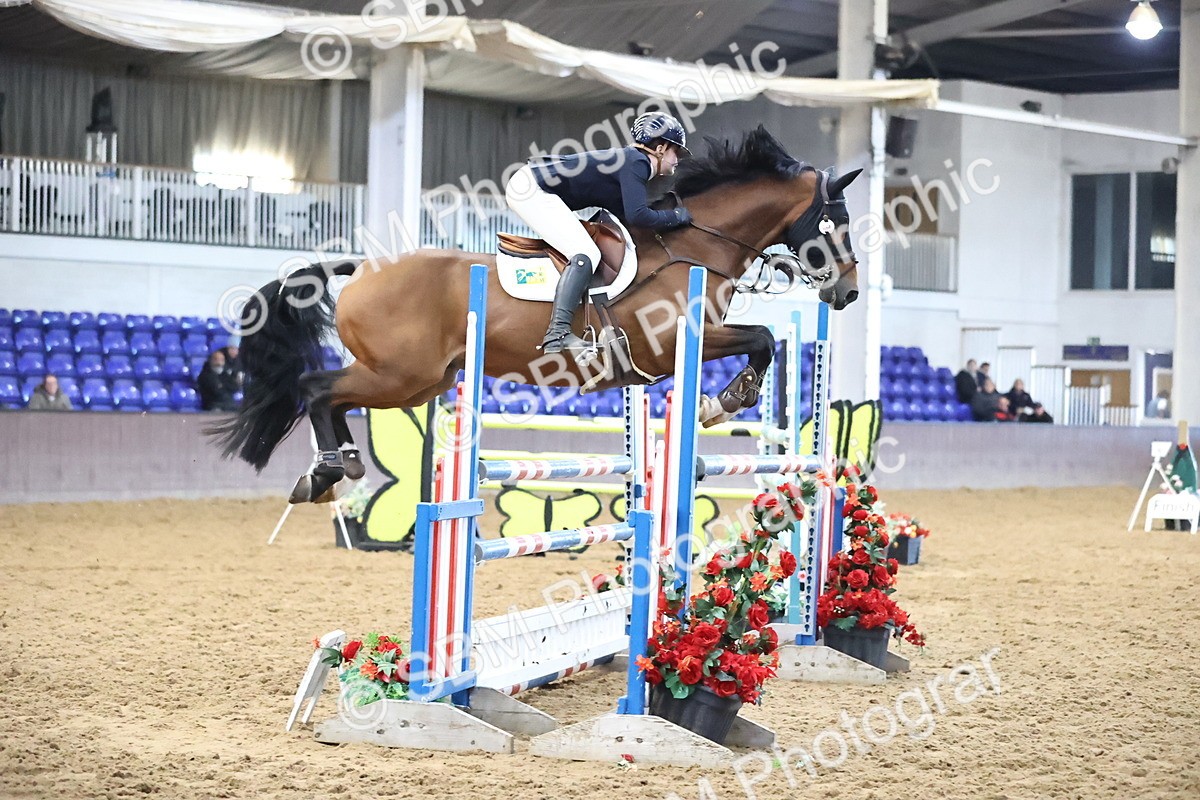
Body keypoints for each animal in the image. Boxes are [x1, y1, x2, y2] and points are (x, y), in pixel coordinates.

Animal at [209, 126, 861, 503]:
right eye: (837, 223)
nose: (850, 294)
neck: (696, 246)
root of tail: (364, 269)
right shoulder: (677, 340)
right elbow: (763, 338)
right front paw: (723, 400)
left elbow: (764, 339)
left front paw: (725, 399)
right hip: (399, 374)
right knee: (316, 389)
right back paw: (324, 472)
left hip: (419, 382)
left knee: (333, 397)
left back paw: (338, 465)